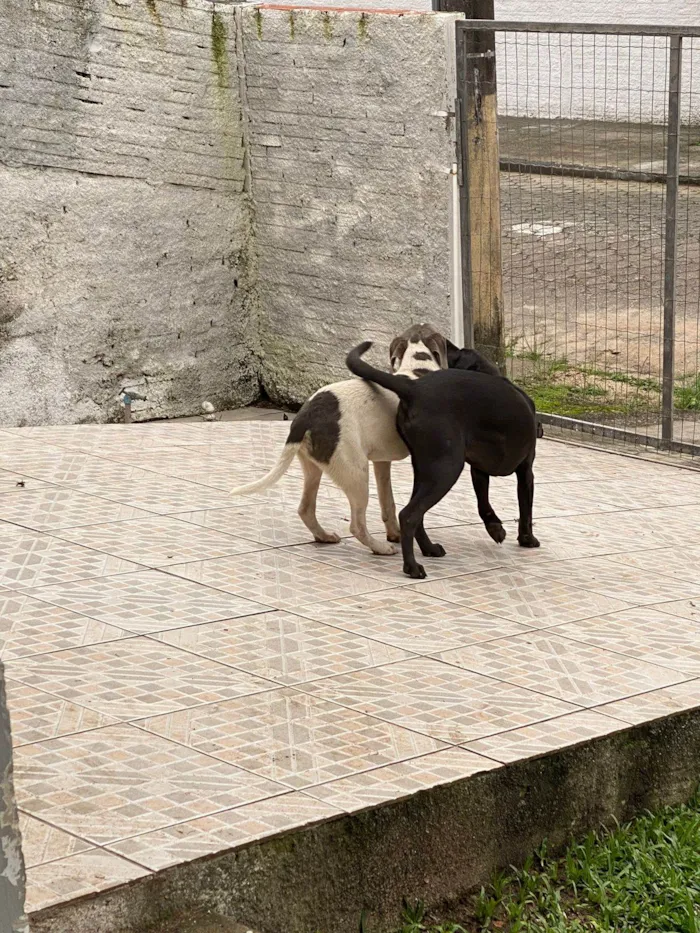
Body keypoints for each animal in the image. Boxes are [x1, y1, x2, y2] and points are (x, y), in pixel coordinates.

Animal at [231, 324, 448, 552]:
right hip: (357, 474)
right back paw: (380, 548)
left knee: (305, 509)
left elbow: (387, 501)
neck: (416, 366)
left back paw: (324, 536)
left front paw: (394, 533)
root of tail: (305, 417)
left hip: (314, 467)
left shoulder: (381, 462)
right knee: (356, 526)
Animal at [348, 342, 540, 576]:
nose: (446, 344)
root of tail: (413, 389)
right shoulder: (526, 471)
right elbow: (526, 509)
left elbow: (483, 503)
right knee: (409, 515)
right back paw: (412, 567)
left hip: (427, 469)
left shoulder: (478, 471)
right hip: (446, 469)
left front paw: (495, 528)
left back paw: (429, 549)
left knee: (417, 515)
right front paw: (527, 539)